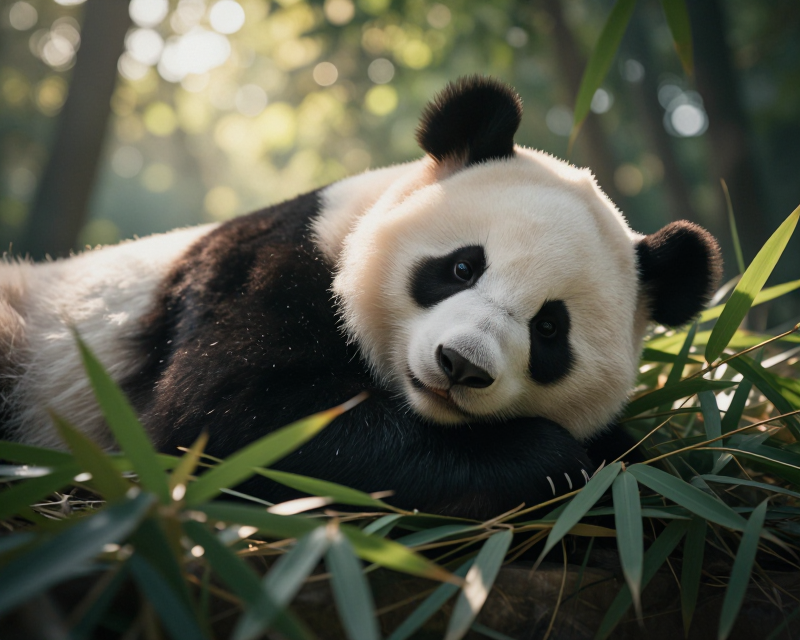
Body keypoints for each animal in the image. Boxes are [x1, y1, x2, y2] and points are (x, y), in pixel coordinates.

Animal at [0, 77, 721, 518]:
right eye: (462, 267)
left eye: (550, 330)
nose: (461, 365)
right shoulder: (265, 271)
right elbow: (226, 424)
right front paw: (550, 460)